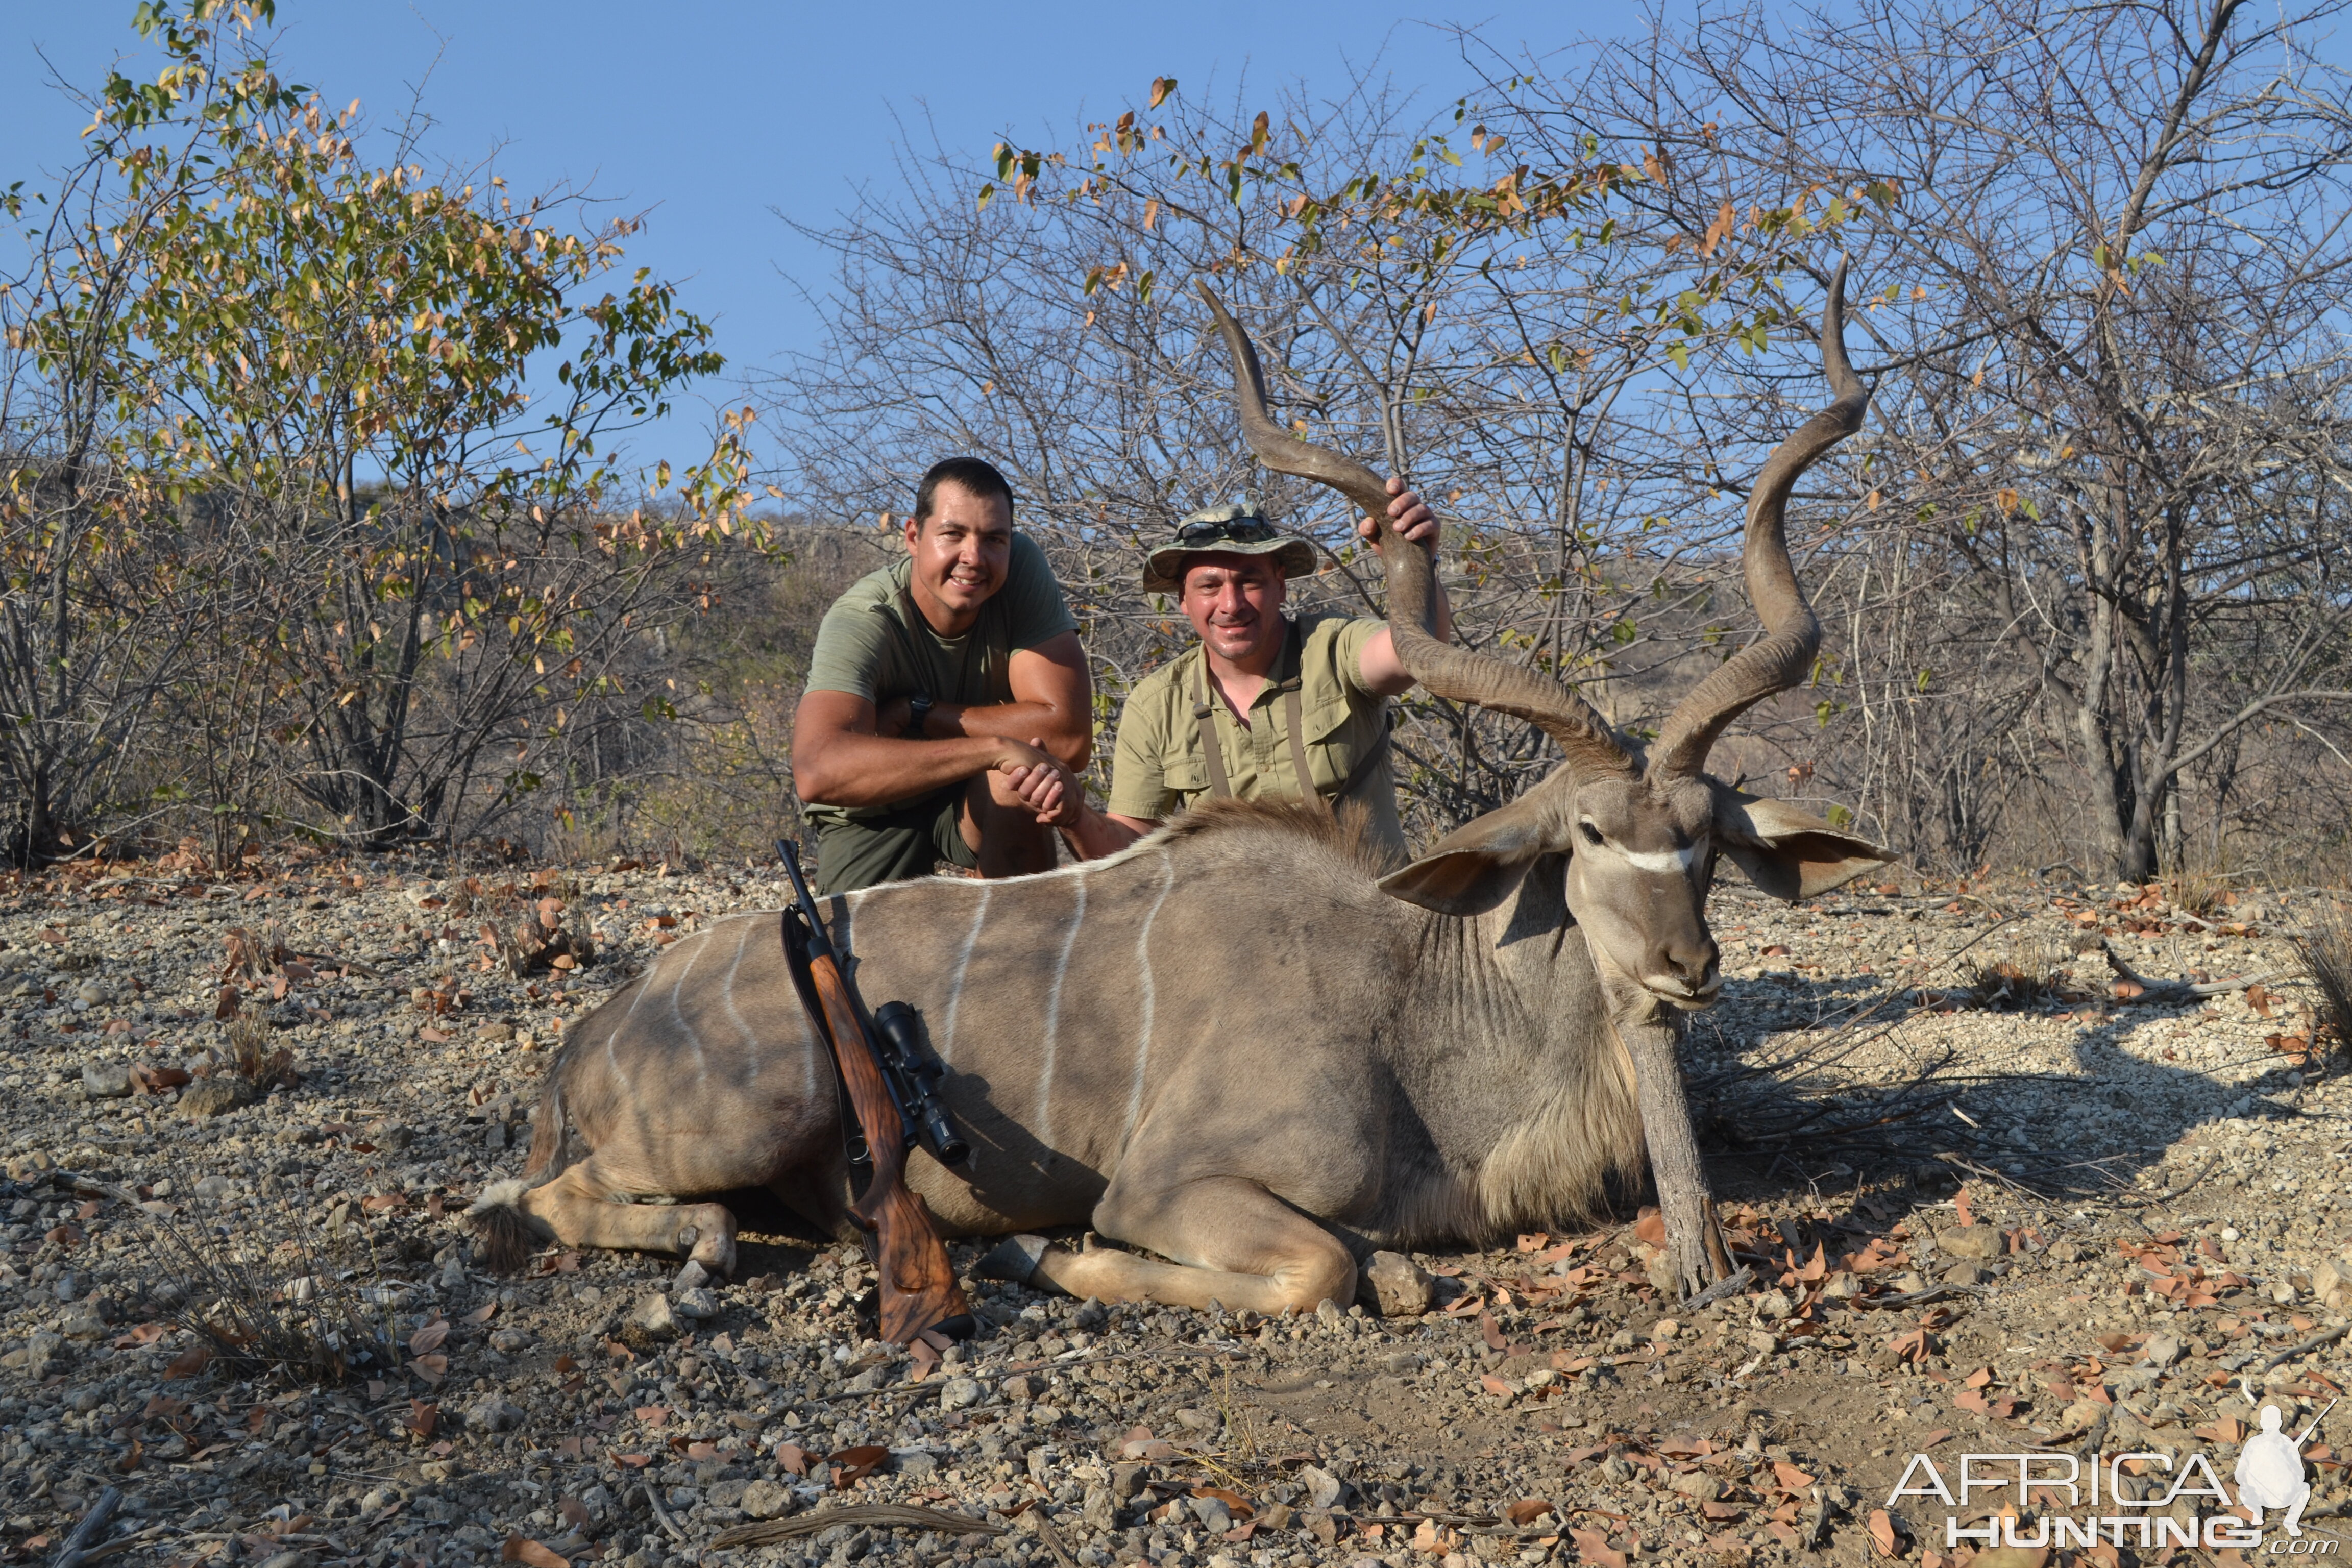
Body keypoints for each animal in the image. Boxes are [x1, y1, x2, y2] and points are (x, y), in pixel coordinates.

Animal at [468, 266, 1881, 1297]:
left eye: (1703, 836)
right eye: (1587, 831)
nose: (1683, 968)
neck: (1411, 995)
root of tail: (602, 1026)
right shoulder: (1166, 1183)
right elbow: (1322, 1268)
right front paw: (1044, 1249)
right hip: (753, 1112)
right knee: (526, 1198)